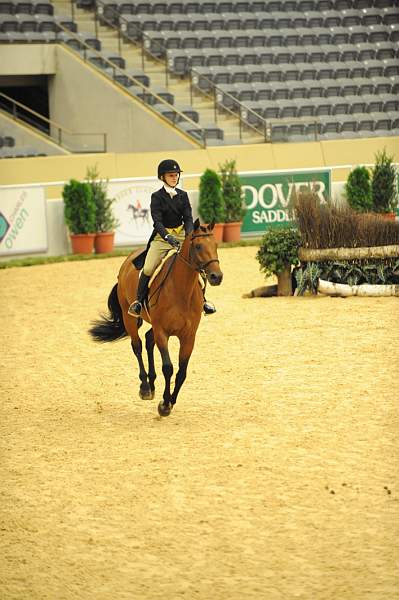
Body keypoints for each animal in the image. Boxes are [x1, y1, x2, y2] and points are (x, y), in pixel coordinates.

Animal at [88, 220, 223, 418]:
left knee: (148, 339)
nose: (216, 277)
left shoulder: (189, 336)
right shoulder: (162, 332)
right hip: (130, 319)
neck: (181, 291)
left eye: (215, 245)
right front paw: (164, 405)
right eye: (198, 246)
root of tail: (128, 260)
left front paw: (171, 401)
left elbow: (182, 372)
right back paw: (145, 387)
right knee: (137, 346)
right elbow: (168, 367)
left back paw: (151, 385)